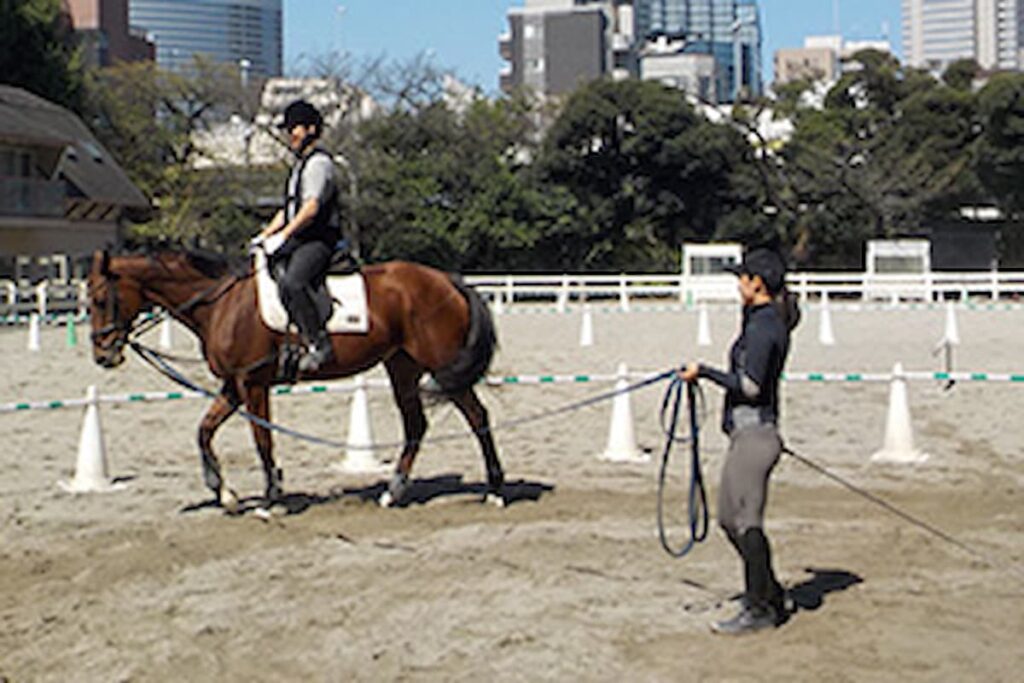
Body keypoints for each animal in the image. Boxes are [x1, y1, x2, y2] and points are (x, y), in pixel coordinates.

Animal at [87, 246, 503, 511]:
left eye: (99, 300)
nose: (103, 356)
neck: (221, 303)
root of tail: (448, 280)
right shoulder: (233, 386)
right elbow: (204, 431)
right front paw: (224, 493)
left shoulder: (253, 384)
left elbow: (262, 440)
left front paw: (272, 498)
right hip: (402, 366)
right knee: (416, 425)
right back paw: (393, 492)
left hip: (440, 365)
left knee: (477, 417)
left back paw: (496, 490)